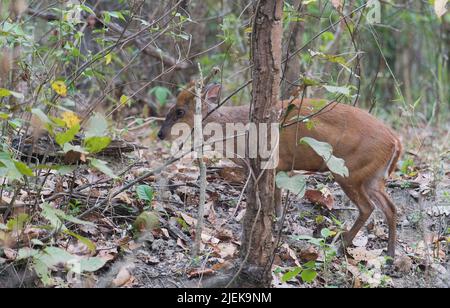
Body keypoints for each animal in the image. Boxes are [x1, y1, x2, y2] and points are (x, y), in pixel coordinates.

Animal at [157, 83, 400, 258]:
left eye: (179, 111)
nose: (160, 134)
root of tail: (395, 141)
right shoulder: (278, 167)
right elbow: (277, 195)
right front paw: (278, 221)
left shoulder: (266, 163)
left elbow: (263, 196)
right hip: (373, 177)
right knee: (391, 207)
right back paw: (389, 254)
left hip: (349, 171)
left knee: (368, 208)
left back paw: (340, 247)